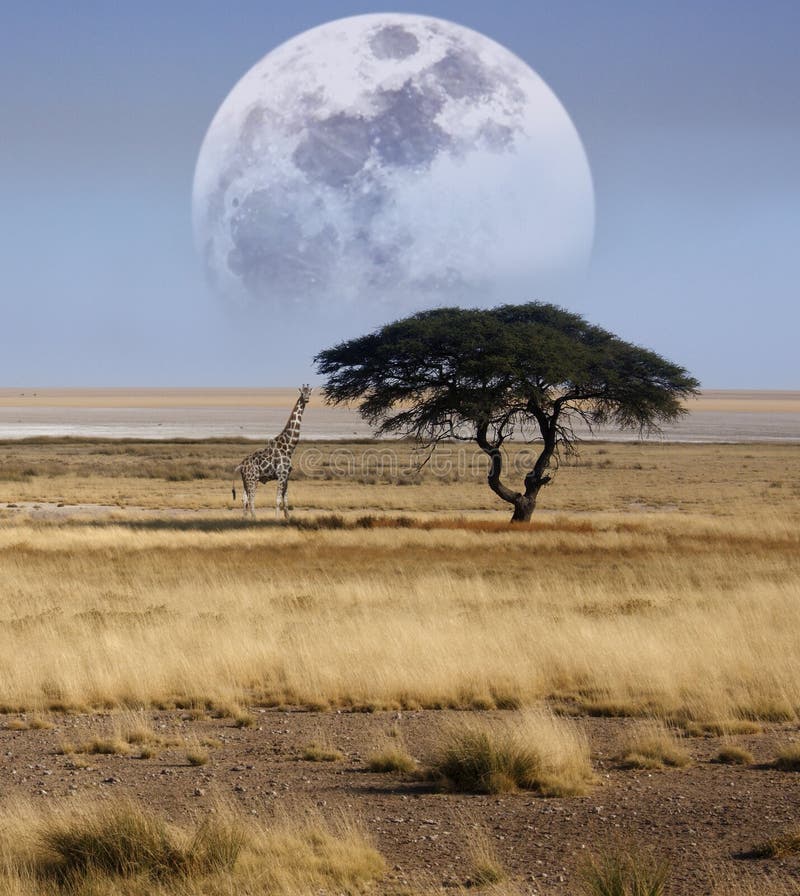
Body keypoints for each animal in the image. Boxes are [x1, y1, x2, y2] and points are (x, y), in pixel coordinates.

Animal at [233, 384, 310, 520]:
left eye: (309, 392)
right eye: (302, 393)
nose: (306, 399)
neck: (289, 446)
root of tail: (241, 465)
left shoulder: (287, 475)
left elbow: (286, 499)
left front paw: (288, 517)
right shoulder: (281, 474)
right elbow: (278, 499)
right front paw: (276, 519)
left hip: (245, 480)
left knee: (244, 498)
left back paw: (244, 518)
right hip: (252, 479)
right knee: (251, 498)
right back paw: (255, 519)